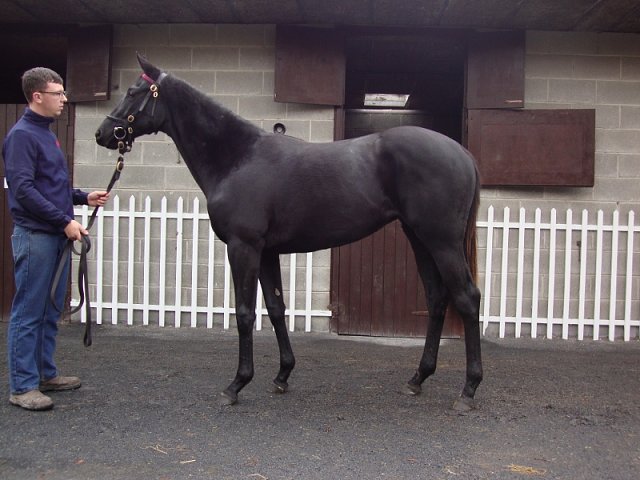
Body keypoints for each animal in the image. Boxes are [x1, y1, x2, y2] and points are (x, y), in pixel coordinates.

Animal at [95, 55, 482, 408]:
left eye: (133, 91)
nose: (102, 134)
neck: (238, 158)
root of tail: (463, 154)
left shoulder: (243, 247)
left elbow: (245, 312)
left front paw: (236, 384)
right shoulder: (267, 252)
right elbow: (276, 307)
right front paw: (282, 375)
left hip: (442, 242)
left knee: (466, 298)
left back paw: (468, 390)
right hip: (420, 239)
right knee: (437, 298)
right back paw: (418, 379)